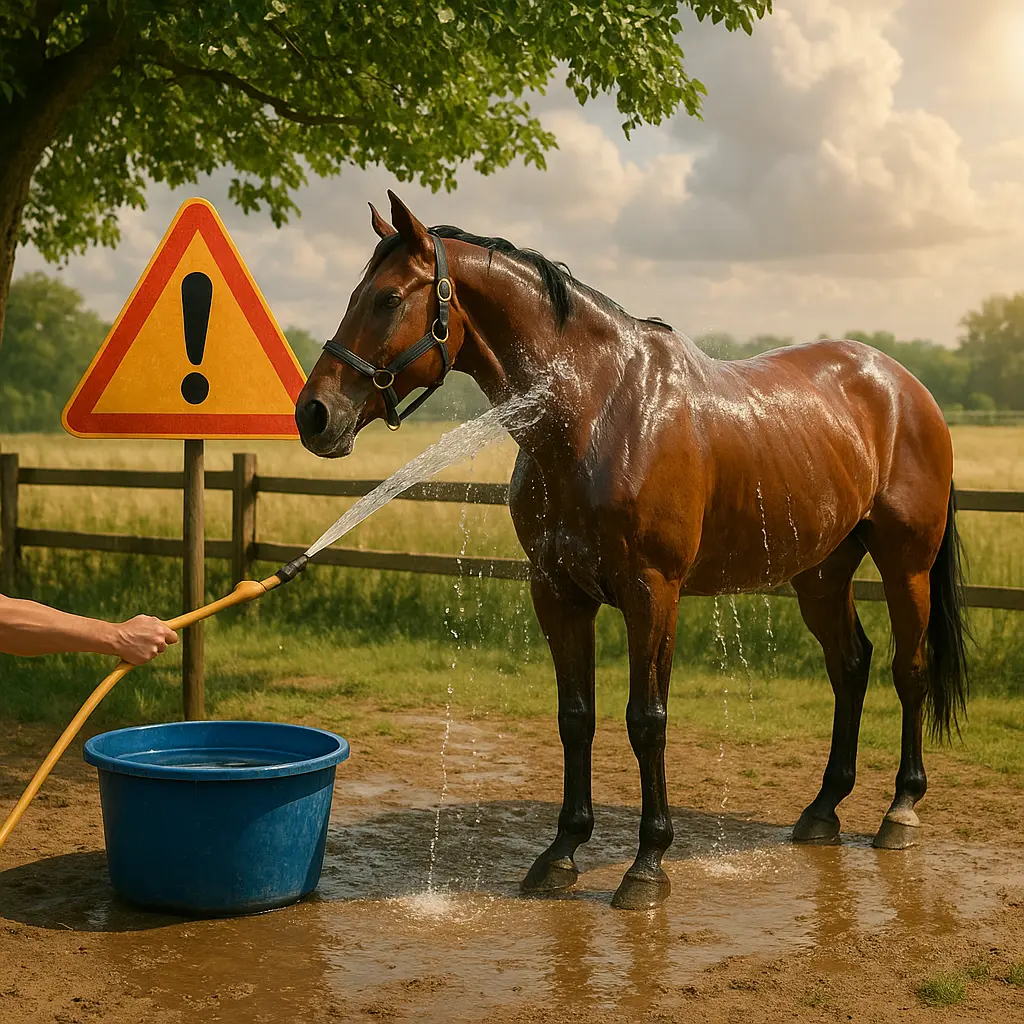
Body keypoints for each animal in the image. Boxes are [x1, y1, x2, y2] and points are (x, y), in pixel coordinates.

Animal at [295, 191, 970, 910]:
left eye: (389, 299)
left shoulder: (654, 593)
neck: (598, 414)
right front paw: (561, 853)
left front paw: (647, 864)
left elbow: (646, 721)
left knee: (909, 670)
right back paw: (822, 809)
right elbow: (576, 717)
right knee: (850, 665)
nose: (314, 414)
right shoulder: (558, 593)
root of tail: (904, 386)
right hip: (821, 572)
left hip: (906, 565)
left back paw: (900, 810)